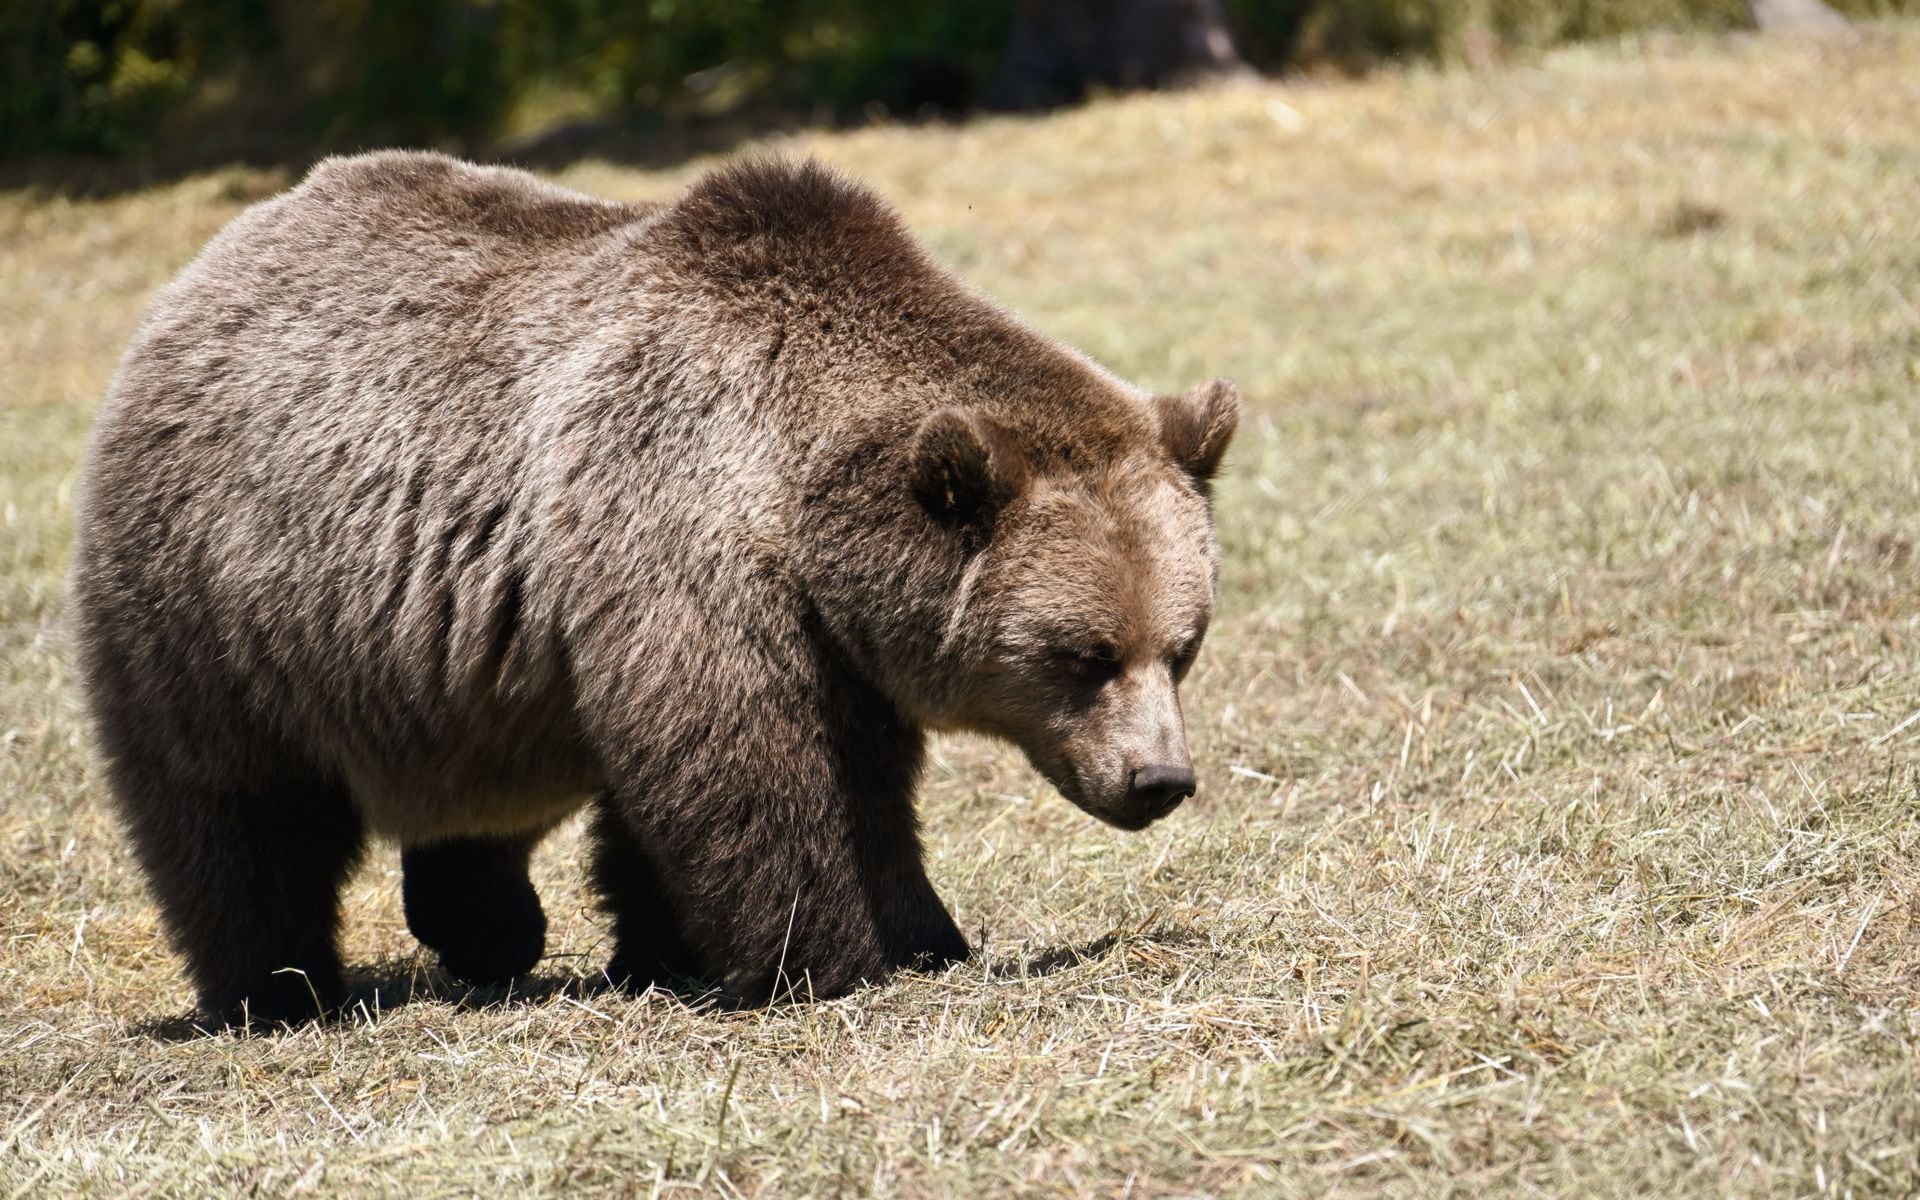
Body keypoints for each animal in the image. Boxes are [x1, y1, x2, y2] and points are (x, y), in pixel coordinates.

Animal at [68, 151, 1238, 1026]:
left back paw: (486, 928)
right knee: (234, 806)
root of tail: (210, 264)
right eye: (1084, 655)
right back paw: (277, 987)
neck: (799, 497)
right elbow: (753, 769)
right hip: (217, 599)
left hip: (453, 670)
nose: (1159, 781)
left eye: (1181, 647)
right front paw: (830, 957)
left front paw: (912, 936)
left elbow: (839, 784)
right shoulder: (682, 534)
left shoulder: (829, 634)